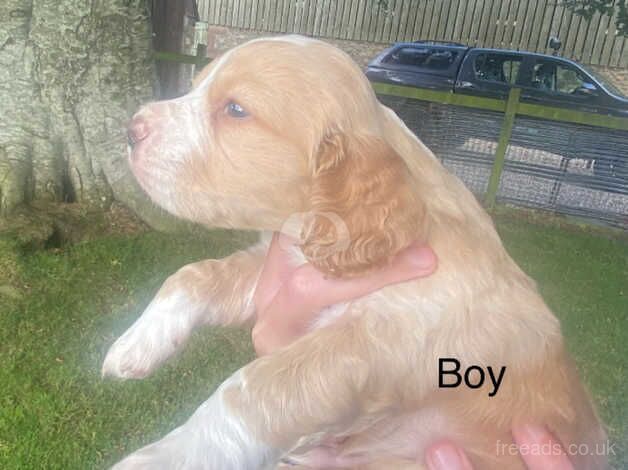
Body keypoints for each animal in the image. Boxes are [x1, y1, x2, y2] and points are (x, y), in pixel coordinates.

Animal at [103, 35, 608, 468]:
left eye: (236, 109)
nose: (131, 128)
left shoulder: (378, 341)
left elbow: (252, 388)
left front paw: (166, 457)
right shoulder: (278, 262)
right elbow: (195, 274)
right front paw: (135, 341)